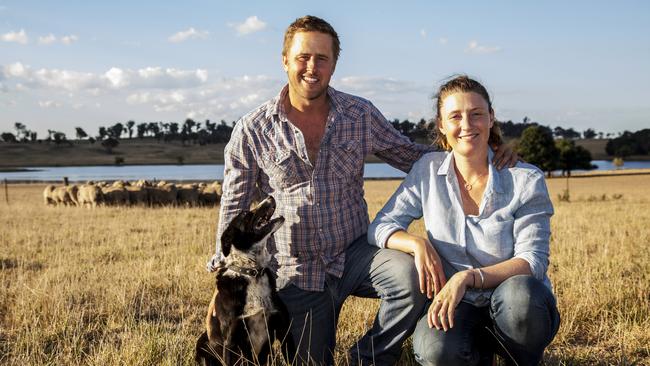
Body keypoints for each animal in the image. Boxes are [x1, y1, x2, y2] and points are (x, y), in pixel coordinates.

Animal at [195, 197, 292, 366]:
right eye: (245, 214)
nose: (270, 197)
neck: (252, 273)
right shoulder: (231, 340)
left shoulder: (283, 328)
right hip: (202, 343)